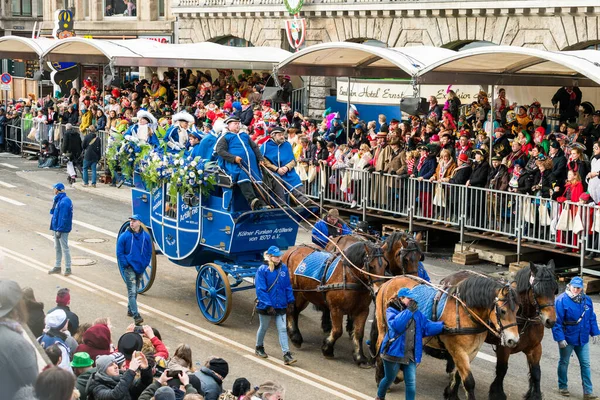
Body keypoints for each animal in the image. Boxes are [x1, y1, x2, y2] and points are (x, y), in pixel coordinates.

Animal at [284, 239, 390, 368]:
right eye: (371, 266)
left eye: (385, 265)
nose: (379, 291)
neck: (349, 276)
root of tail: (291, 250)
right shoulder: (336, 309)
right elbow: (337, 331)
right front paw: (327, 349)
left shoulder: (362, 310)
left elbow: (358, 333)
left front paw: (360, 357)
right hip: (293, 292)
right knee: (290, 310)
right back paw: (296, 337)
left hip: (303, 295)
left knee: (295, 311)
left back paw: (294, 334)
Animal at [370, 276, 520, 400]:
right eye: (503, 311)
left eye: (518, 309)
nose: (513, 340)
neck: (466, 312)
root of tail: (389, 281)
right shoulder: (458, 350)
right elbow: (469, 382)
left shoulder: (471, 352)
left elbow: (458, 376)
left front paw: (451, 395)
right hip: (384, 327)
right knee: (381, 347)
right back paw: (380, 378)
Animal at [440, 260, 556, 398]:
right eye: (537, 291)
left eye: (555, 290)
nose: (551, 320)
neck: (524, 317)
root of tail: (449, 277)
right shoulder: (504, 347)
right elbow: (502, 369)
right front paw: (497, 392)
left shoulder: (535, 347)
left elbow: (536, 372)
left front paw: (535, 395)